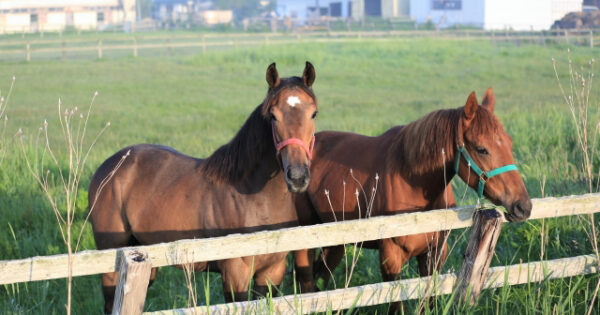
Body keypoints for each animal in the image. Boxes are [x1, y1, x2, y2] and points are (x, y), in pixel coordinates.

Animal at [89, 62, 318, 315]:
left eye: (313, 113)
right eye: (273, 116)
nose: (297, 176)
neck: (257, 202)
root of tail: (108, 168)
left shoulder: (272, 271)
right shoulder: (235, 273)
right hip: (113, 262)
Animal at [292, 87, 532, 312]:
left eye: (509, 143)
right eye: (482, 149)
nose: (523, 206)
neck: (411, 181)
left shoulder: (434, 254)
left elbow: (428, 299)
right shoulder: (390, 259)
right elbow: (396, 304)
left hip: (335, 242)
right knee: (307, 283)